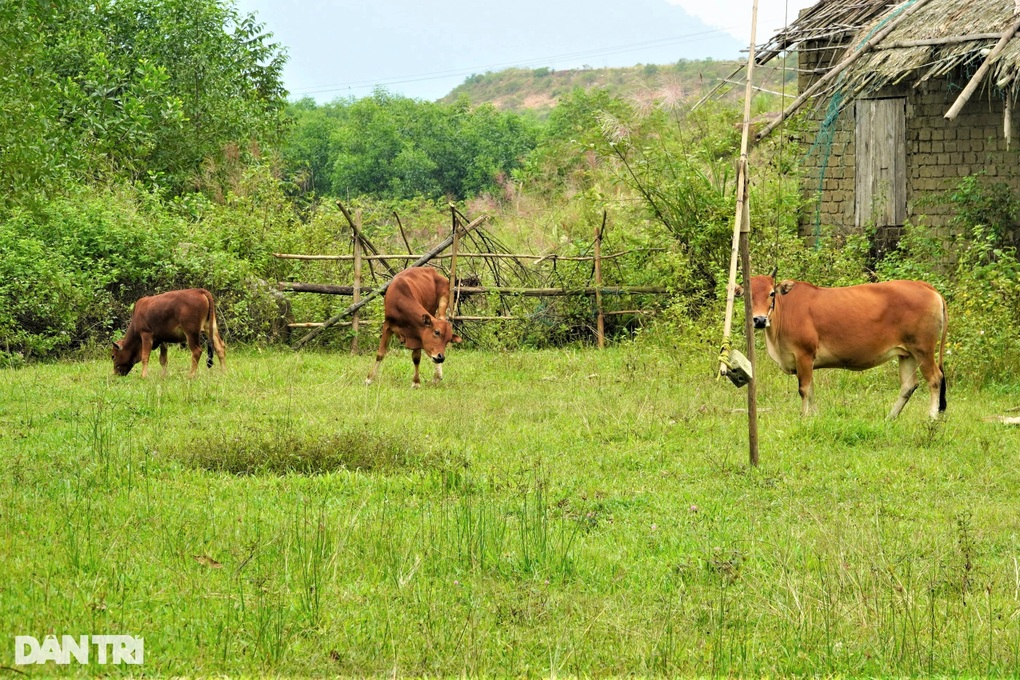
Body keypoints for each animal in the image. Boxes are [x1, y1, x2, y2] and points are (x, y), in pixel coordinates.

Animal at [742, 273, 946, 417]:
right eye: (747, 295)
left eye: (771, 293)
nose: (759, 320)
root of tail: (924, 285)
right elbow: (811, 390)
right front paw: (815, 416)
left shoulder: (804, 355)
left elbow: (804, 389)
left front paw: (804, 417)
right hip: (907, 353)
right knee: (909, 385)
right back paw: (890, 417)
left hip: (923, 350)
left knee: (935, 379)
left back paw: (932, 417)